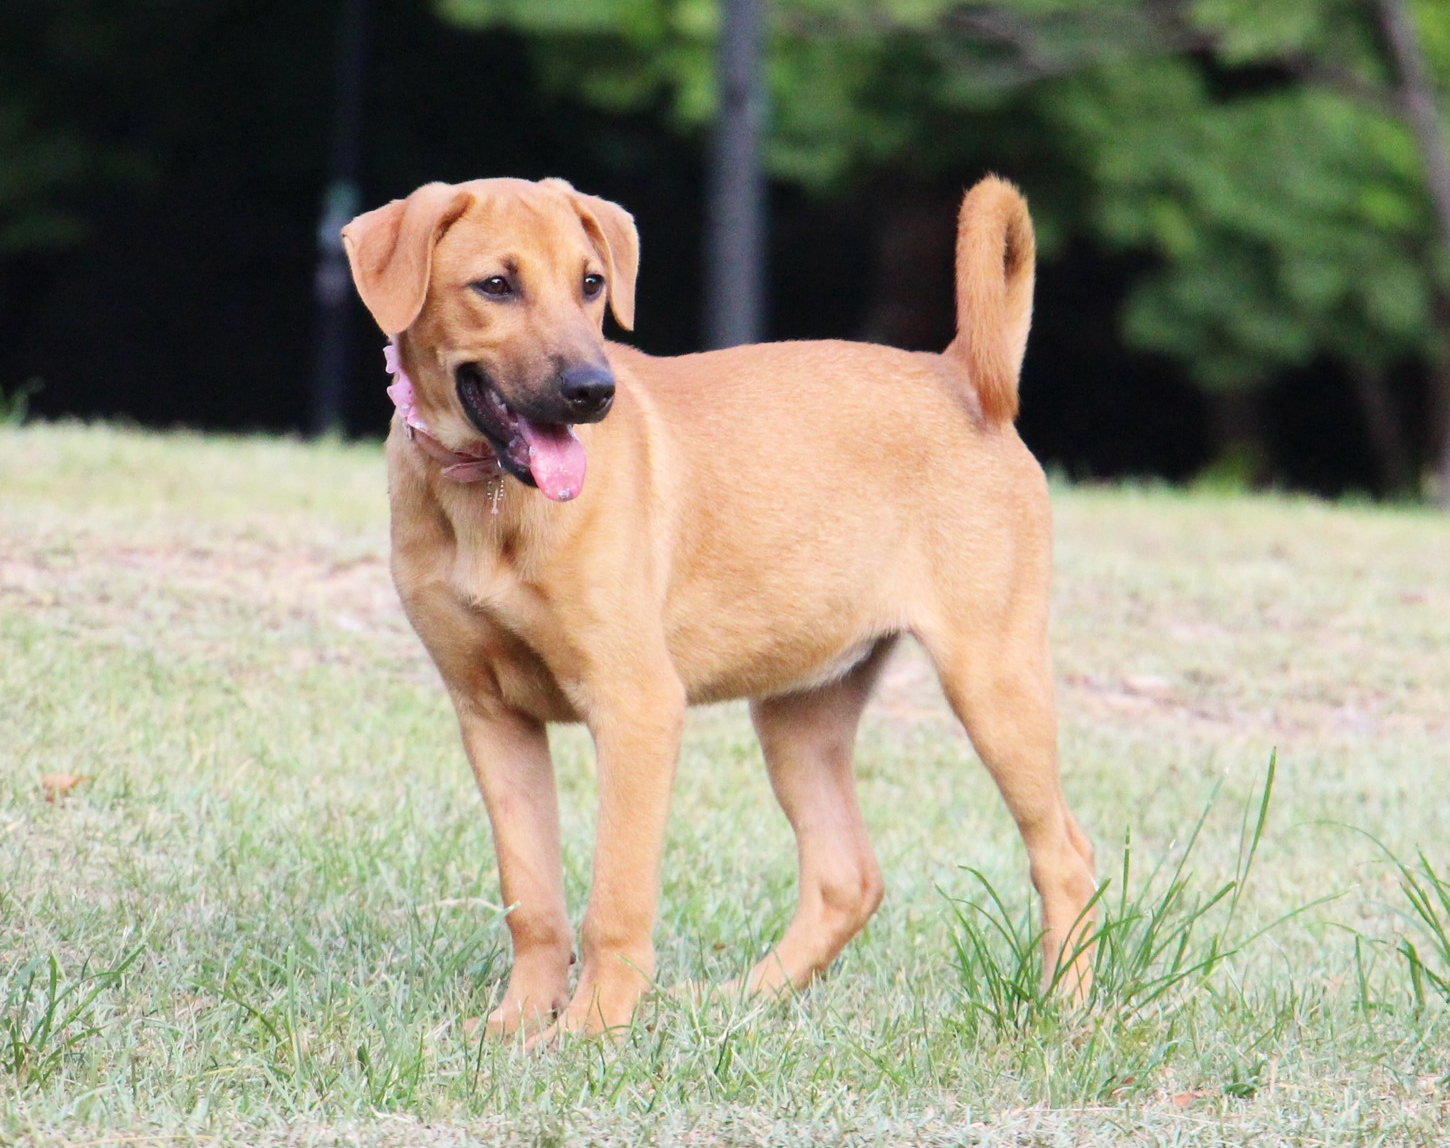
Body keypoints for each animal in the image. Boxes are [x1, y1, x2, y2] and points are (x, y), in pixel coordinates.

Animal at [336, 172, 1090, 1037]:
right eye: (496, 285)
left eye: (591, 284)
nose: (593, 391)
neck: (486, 500)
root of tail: (959, 375)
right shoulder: (490, 714)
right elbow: (533, 898)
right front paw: (517, 1025)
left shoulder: (637, 705)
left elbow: (616, 897)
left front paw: (592, 1030)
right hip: (803, 712)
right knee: (848, 878)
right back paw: (741, 1002)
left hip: (994, 678)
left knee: (1066, 857)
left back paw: (1065, 1011)